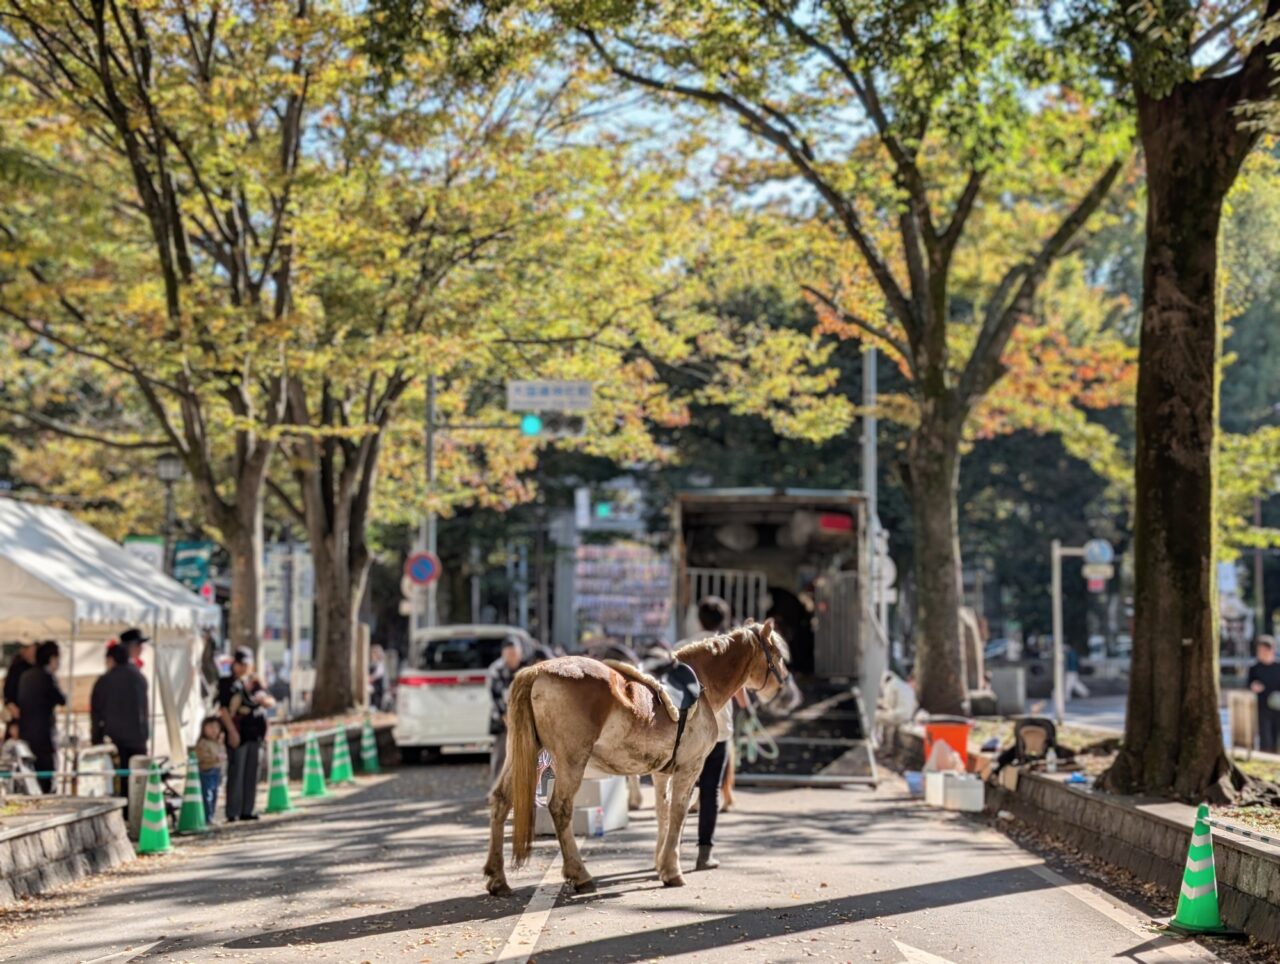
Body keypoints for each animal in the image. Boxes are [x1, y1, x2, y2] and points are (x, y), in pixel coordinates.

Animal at [481, 617, 788, 896]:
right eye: (778, 654)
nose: (782, 685)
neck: (703, 683)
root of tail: (537, 670)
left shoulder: (662, 772)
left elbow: (663, 812)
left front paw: (660, 863)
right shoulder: (690, 767)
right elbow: (678, 813)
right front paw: (672, 870)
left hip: (525, 754)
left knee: (501, 800)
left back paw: (498, 877)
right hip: (570, 760)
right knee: (560, 808)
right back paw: (579, 874)